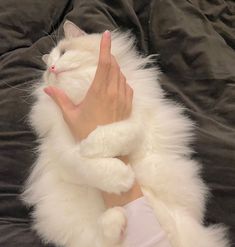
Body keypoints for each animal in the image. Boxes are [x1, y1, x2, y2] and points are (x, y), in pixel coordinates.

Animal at [22, 20, 229, 247]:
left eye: (64, 53)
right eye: (47, 71)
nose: (52, 68)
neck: (83, 93)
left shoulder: (138, 123)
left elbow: (119, 133)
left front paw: (91, 145)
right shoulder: (62, 154)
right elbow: (83, 164)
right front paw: (120, 177)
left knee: (167, 223)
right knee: (109, 236)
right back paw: (117, 218)